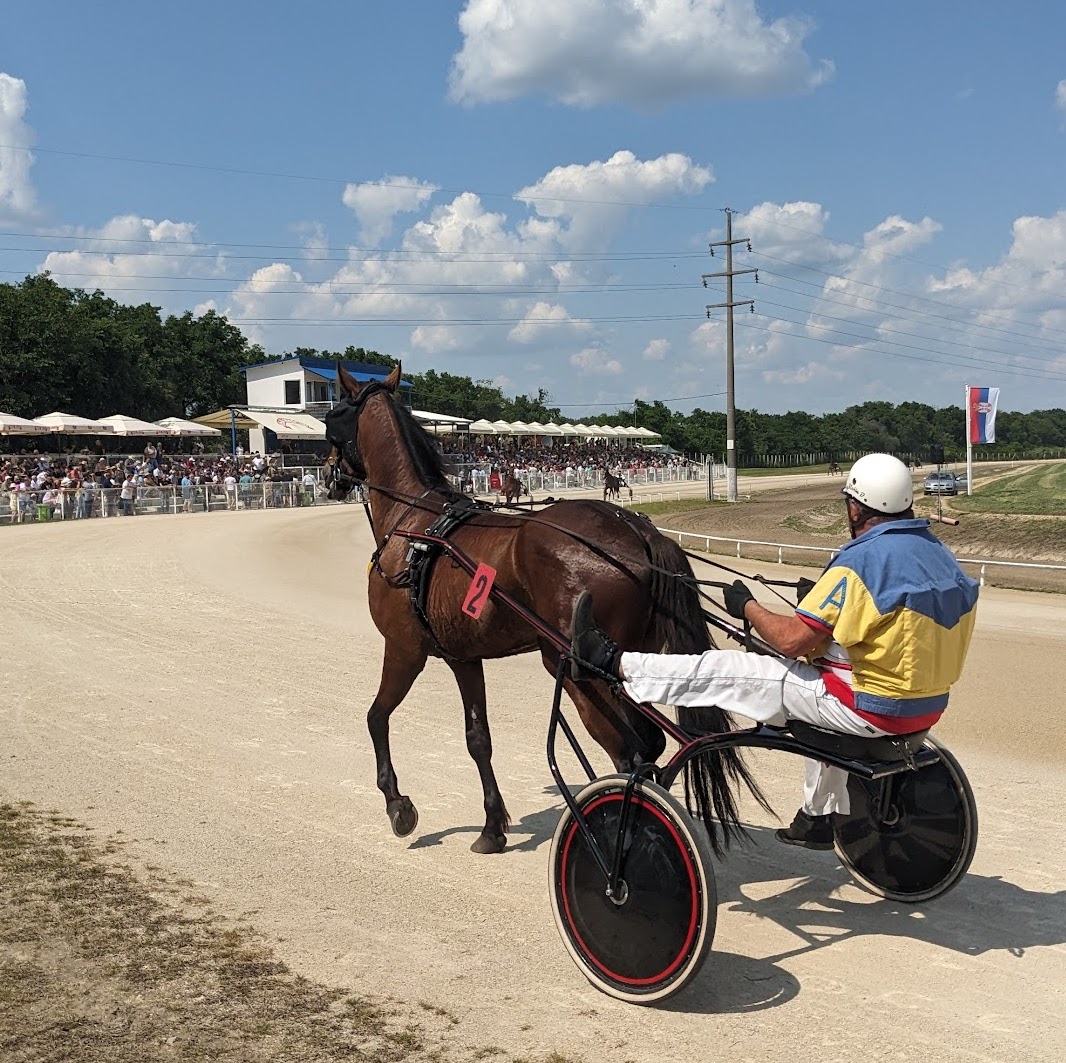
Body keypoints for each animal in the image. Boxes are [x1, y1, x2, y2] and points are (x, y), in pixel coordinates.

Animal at [321, 364, 767, 852]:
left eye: (330, 419)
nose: (327, 477)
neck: (415, 527)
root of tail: (639, 533)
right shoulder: (463, 657)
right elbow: (477, 739)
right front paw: (492, 826)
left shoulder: (404, 649)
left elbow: (375, 717)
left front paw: (397, 804)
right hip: (628, 661)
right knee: (646, 748)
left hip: (573, 667)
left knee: (633, 751)